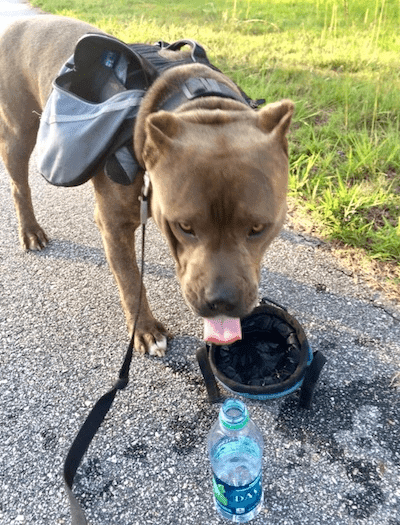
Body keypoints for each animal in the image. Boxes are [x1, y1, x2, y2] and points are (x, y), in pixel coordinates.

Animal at [0, 14, 294, 354]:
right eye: (185, 227)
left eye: (259, 228)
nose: (221, 302)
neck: (203, 107)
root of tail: (23, 19)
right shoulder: (114, 223)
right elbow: (130, 278)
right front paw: (145, 329)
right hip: (18, 134)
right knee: (19, 185)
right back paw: (30, 231)